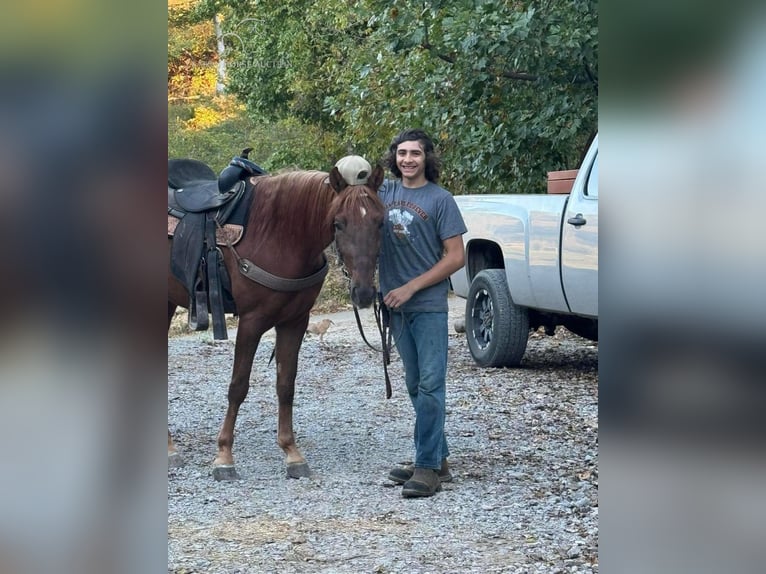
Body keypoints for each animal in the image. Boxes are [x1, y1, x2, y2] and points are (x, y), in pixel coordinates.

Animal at [168, 163, 384, 482]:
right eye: (338, 223)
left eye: (381, 222)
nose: (364, 293)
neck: (279, 234)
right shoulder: (252, 321)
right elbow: (238, 386)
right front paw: (224, 456)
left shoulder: (295, 322)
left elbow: (286, 385)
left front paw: (291, 452)